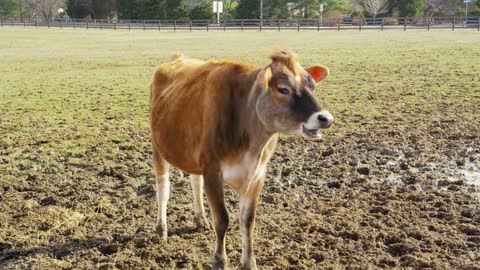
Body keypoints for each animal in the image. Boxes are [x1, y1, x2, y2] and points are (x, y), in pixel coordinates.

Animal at [150, 49, 334, 270]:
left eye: (312, 86)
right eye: (283, 89)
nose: (326, 118)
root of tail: (177, 58)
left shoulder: (258, 174)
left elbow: (247, 221)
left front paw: (249, 262)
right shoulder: (213, 170)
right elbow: (222, 220)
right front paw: (220, 261)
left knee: (195, 182)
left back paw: (200, 220)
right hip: (159, 148)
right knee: (163, 189)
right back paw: (161, 229)